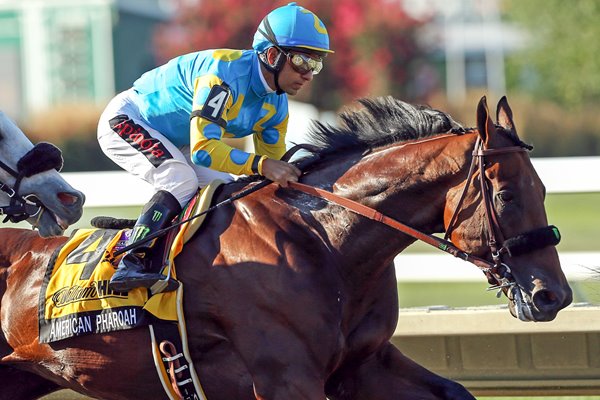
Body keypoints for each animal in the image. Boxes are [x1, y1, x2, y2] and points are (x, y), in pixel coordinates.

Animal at [0, 95, 572, 398]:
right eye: (506, 194)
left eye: (545, 189)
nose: (553, 296)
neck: (326, 242)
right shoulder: (288, 381)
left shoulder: (361, 366)